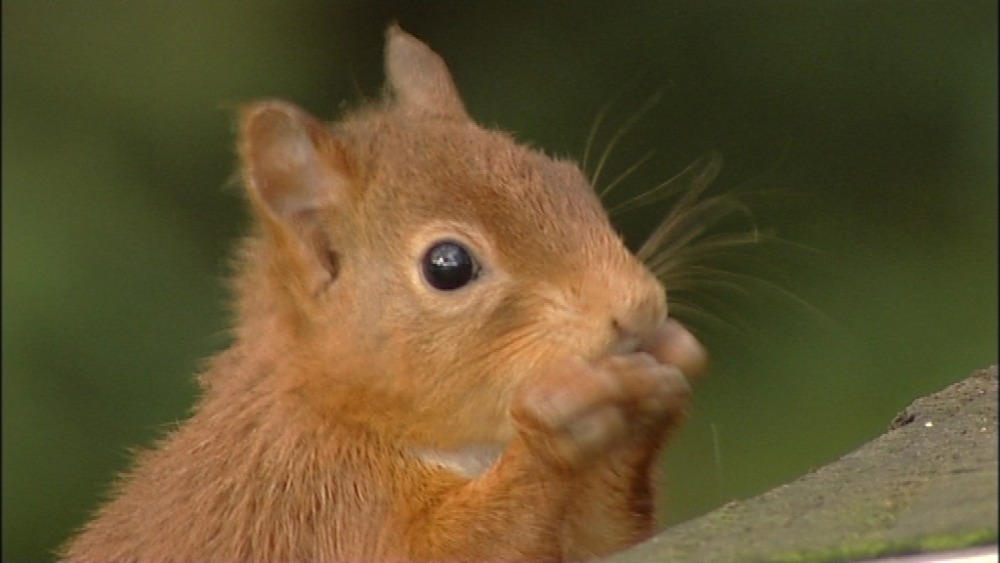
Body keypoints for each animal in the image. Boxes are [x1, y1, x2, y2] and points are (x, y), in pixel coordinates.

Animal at [62, 25, 708, 560]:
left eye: (570, 181)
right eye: (447, 266)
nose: (638, 309)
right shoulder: (327, 503)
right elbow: (446, 549)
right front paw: (564, 430)